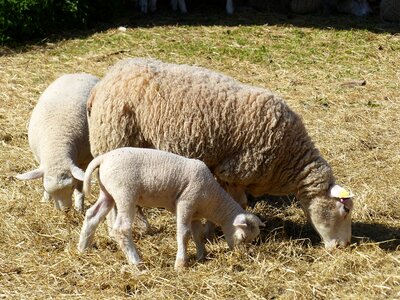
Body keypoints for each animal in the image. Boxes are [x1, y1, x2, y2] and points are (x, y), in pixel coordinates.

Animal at [16, 72, 99, 211]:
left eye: (71, 186)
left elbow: (80, 186)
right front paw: (45, 200)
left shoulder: (84, 162)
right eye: (48, 189)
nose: (65, 210)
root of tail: (80, 73)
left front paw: (79, 207)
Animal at [77, 147, 262, 270]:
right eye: (243, 236)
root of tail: (103, 158)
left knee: (92, 215)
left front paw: (202, 255)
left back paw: (83, 248)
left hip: (107, 192)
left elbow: (197, 234)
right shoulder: (186, 203)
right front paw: (181, 264)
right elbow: (184, 233)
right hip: (124, 193)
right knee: (121, 229)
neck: (212, 200)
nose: (241, 256)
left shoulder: (195, 213)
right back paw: (137, 262)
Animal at [88, 57, 356, 250]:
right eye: (345, 210)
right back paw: (126, 229)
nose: (342, 246)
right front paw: (212, 231)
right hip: (113, 139)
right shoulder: (234, 172)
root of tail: (104, 81)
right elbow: (238, 203)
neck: (287, 157)